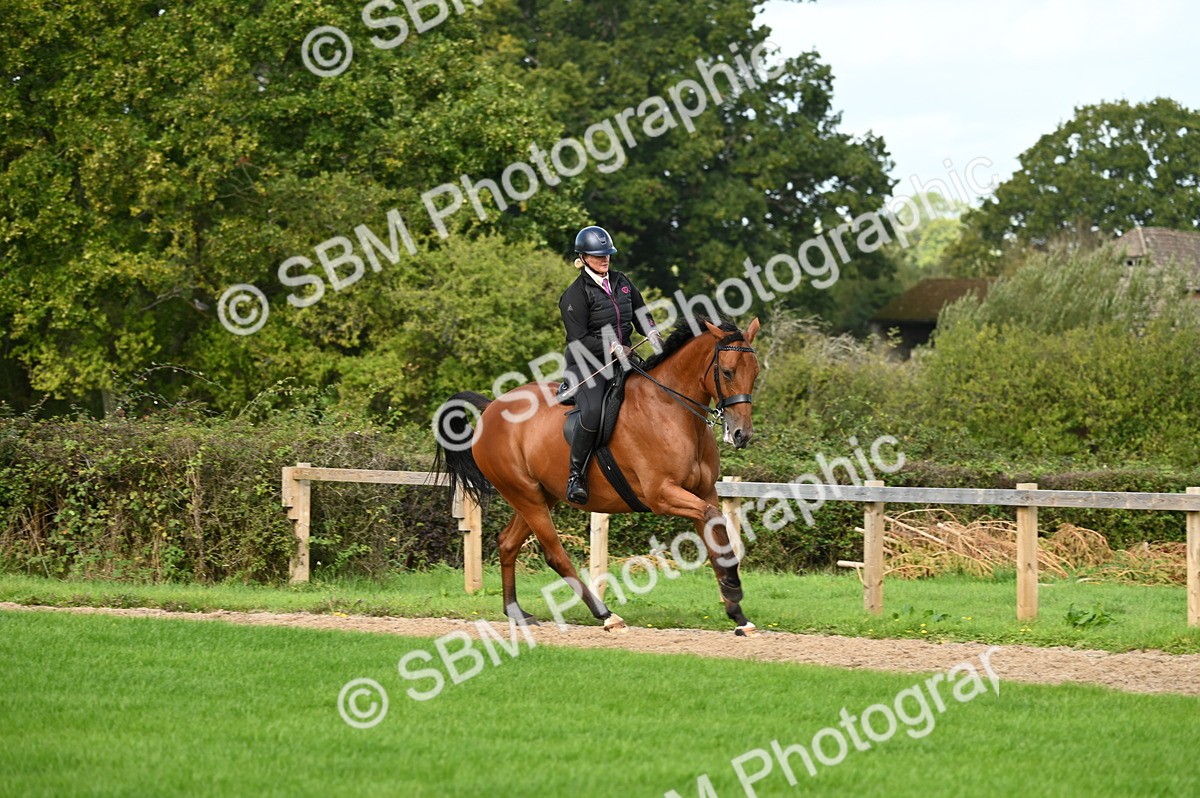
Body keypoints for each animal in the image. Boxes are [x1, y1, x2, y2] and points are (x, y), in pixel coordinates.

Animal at [433, 315, 762, 635]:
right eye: (728, 372)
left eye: (755, 373)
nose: (741, 434)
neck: (670, 409)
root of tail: (491, 408)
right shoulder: (662, 495)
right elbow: (713, 520)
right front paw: (733, 590)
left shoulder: (703, 493)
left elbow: (716, 533)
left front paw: (737, 612)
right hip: (525, 495)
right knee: (555, 554)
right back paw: (606, 614)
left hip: (541, 496)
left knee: (507, 543)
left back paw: (516, 613)